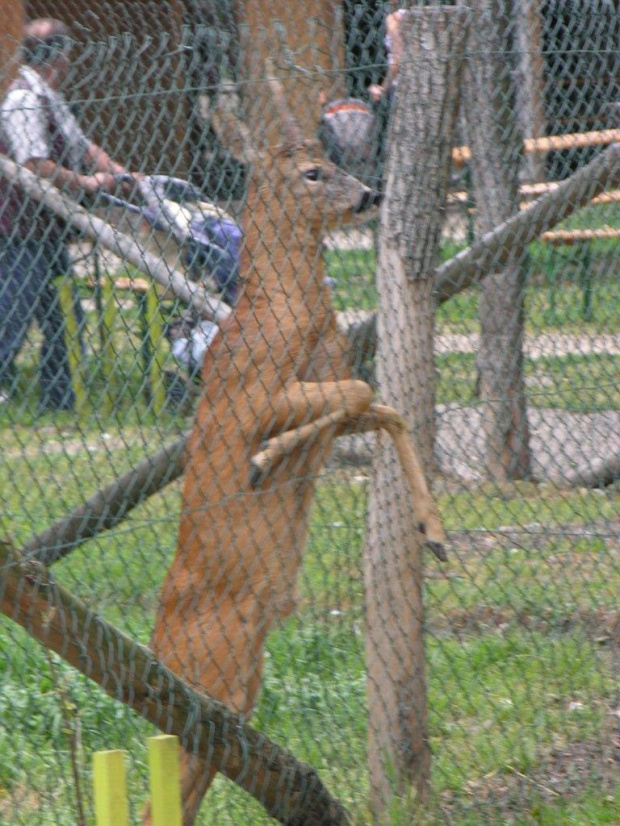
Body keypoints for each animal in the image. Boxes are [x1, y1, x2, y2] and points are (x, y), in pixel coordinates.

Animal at [145, 71, 446, 824]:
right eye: (312, 173)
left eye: (331, 157)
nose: (370, 195)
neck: (292, 316)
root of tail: (157, 651)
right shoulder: (253, 394)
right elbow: (360, 391)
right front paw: (260, 459)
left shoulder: (332, 392)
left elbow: (383, 406)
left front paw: (434, 533)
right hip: (212, 673)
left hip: (237, 688)